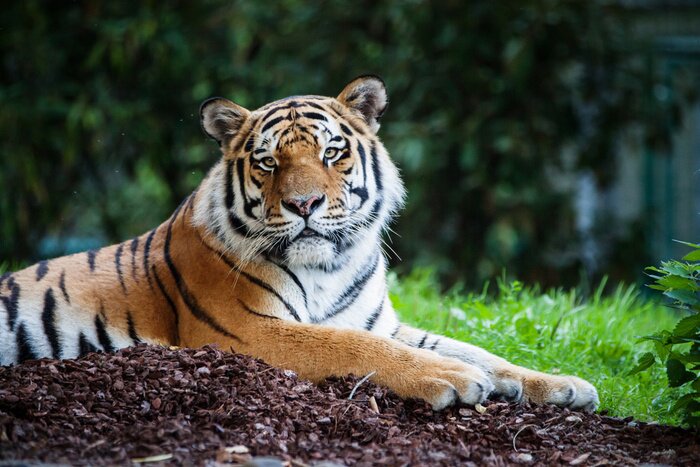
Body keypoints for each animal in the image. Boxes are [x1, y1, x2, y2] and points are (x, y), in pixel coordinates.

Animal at [0, 76, 598, 412]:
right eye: (269, 162)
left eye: (332, 153)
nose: (304, 204)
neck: (332, 267)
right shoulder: (246, 330)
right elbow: (352, 348)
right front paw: (453, 379)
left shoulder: (380, 321)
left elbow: (480, 351)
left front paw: (563, 385)